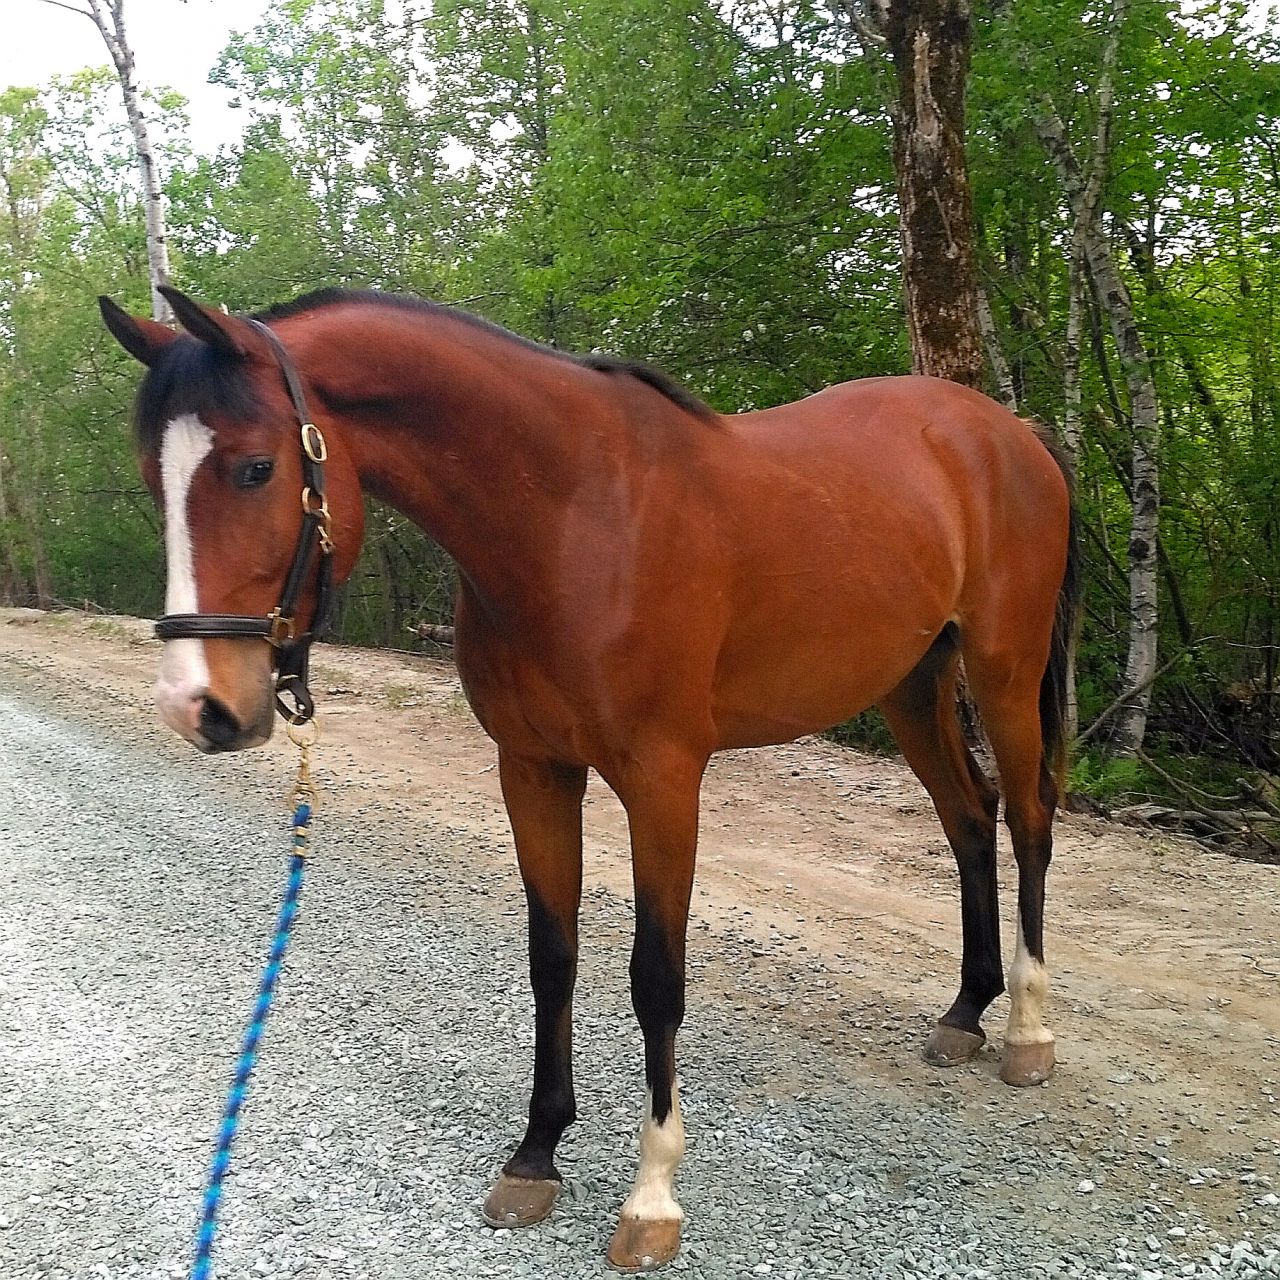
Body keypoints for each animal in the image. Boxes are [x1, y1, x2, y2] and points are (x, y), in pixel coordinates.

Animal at [100, 285, 1079, 1272]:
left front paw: (651, 1199)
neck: (574, 519)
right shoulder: (534, 771)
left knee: (1028, 820)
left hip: (1003, 670)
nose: (198, 706)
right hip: (912, 683)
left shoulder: (663, 781)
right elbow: (553, 957)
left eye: (256, 469)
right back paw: (966, 1011)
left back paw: (1027, 1034)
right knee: (969, 819)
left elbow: (656, 979)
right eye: (151, 476)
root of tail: (1010, 433)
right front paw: (536, 1155)